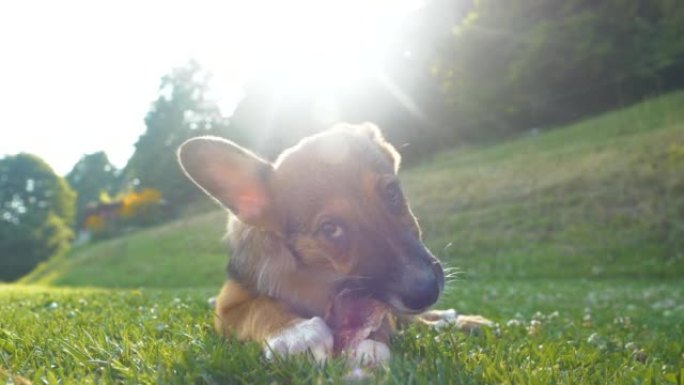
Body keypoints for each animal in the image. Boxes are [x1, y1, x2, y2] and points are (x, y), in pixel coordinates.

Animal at [176, 122, 486, 364]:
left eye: (392, 192)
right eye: (330, 229)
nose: (426, 292)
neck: (320, 276)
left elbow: (389, 318)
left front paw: (373, 343)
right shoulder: (227, 307)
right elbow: (260, 307)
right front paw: (294, 332)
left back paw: (456, 320)